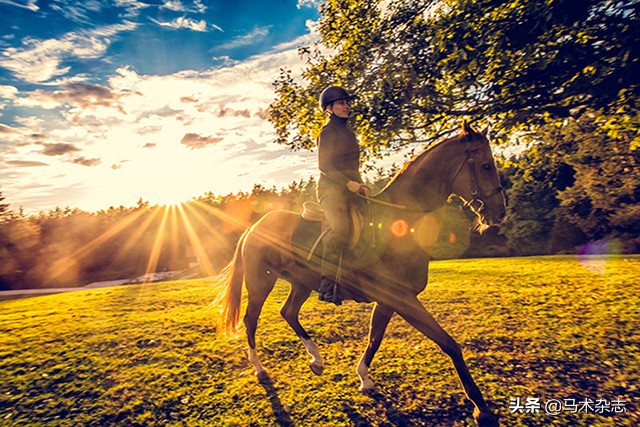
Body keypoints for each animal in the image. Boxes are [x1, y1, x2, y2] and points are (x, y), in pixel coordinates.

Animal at [215, 122, 504, 426]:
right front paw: (481, 409)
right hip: (261, 283)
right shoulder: (402, 299)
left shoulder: (390, 301)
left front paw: (364, 379)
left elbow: (374, 338)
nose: (500, 213)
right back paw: (261, 370)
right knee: (251, 321)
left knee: (289, 312)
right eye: (485, 166)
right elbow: (449, 343)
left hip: (301, 284)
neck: (401, 223)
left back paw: (316, 360)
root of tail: (253, 227)